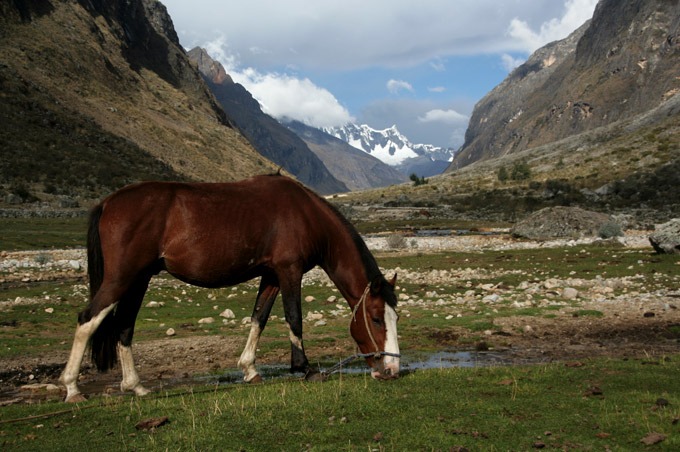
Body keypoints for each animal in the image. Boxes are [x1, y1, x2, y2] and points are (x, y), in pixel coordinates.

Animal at [58, 173, 402, 402]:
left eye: (394, 317)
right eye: (375, 319)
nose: (392, 370)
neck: (305, 213)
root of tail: (107, 203)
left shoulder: (271, 276)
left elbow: (258, 318)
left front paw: (249, 369)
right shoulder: (289, 272)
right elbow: (294, 318)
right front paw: (305, 369)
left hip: (138, 280)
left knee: (125, 327)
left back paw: (135, 385)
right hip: (122, 278)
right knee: (87, 320)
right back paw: (72, 388)